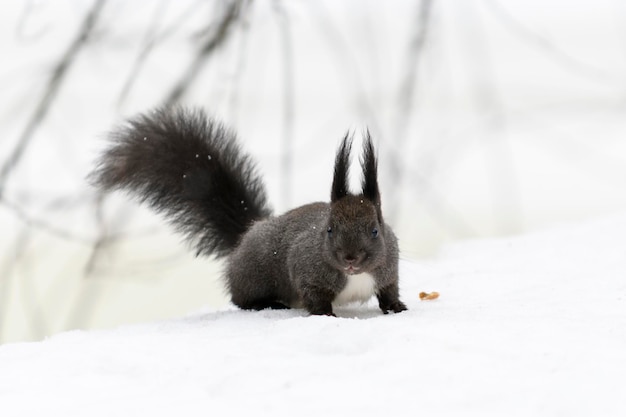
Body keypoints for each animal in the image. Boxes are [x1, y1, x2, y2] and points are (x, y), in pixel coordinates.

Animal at [90, 106, 408, 316]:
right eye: (329, 230)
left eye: (375, 230)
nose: (350, 259)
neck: (355, 276)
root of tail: (245, 236)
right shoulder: (305, 269)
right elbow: (314, 298)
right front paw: (325, 314)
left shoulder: (389, 269)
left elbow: (389, 290)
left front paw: (397, 306)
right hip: (253, 275)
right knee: (239, 297)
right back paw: (266, 303)